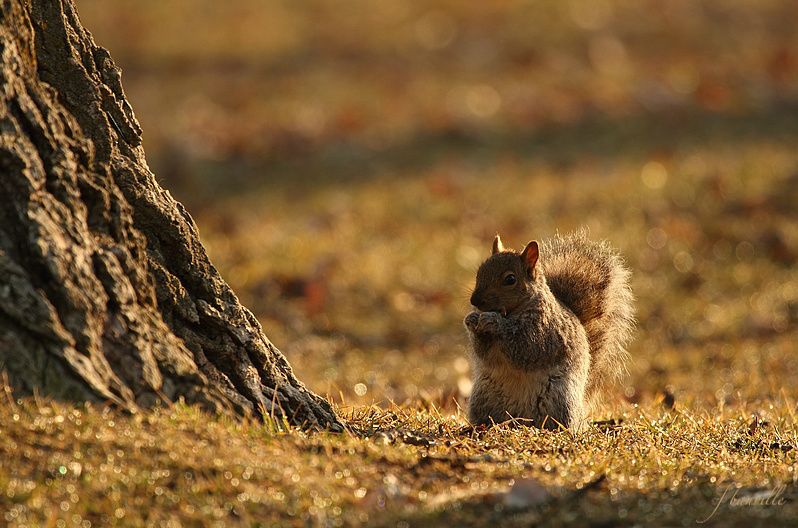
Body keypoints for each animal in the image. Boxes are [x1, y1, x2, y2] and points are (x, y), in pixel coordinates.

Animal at [466, 231, 636, 428]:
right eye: (480, 271)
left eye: (510, 279)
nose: (475, 301)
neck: (512, 312)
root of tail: (521, 419)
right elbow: (483, 352)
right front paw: (471, 320)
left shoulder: (544, 330)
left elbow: (525, 347)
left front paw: (493, 321)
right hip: (483, 398)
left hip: (560, 399)